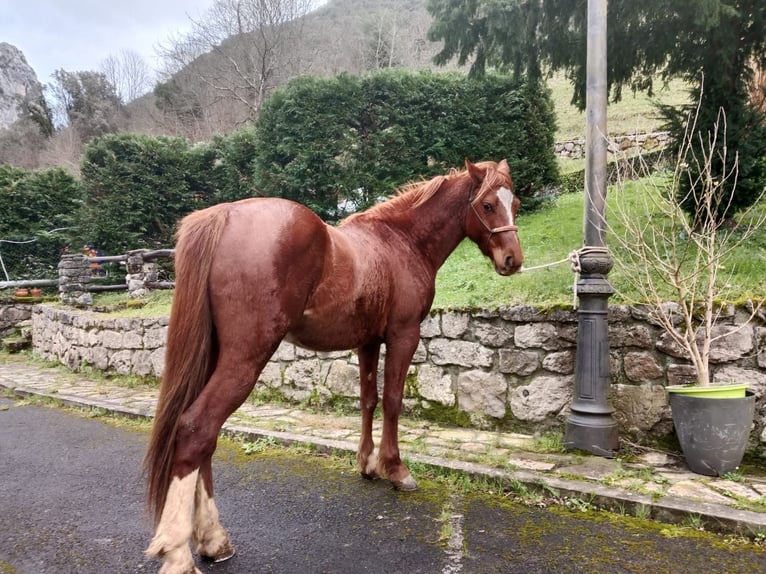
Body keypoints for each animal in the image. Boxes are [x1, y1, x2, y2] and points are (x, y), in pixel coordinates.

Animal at [146, 159, 520, 574]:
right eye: (488, 205)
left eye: (515, 203)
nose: (513, 260)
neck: (400, 242)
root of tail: (223, 214)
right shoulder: (404, 335)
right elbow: (392, 401)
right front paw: (396, 469)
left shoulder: (368, 342)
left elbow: (368, 400)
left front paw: (367, 464)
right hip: (245, 358)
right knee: (198, 428)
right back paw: (179, 552)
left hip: (215, 357)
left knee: (204, 438)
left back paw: (213, 539)